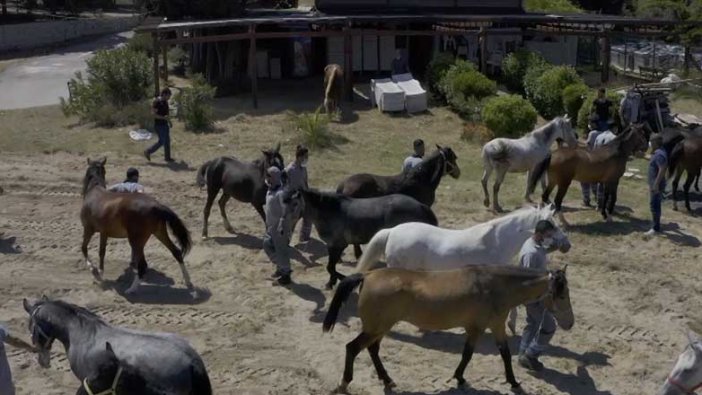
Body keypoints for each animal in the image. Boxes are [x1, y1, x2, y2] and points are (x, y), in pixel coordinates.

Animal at [81, 156, 194, 296]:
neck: (94, 191)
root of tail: (156, 206)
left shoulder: (88, 230)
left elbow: (85, 249)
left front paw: (95, 271)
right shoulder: (104, 233)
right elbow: (101, 252)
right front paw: (99, 272)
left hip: (136, 241)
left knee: (142, 265)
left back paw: (131, 289)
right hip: (159, 233)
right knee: (176, 252)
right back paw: (188, 281)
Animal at [282, 189, 438, 288]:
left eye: (295, 204)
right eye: (284, 204)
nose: (282, 229)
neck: (330, 211)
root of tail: (420, 206)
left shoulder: (338, 245)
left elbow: (330, 267)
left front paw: (342, 280)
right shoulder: (331, 246)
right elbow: (331, 266)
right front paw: (331, 283)